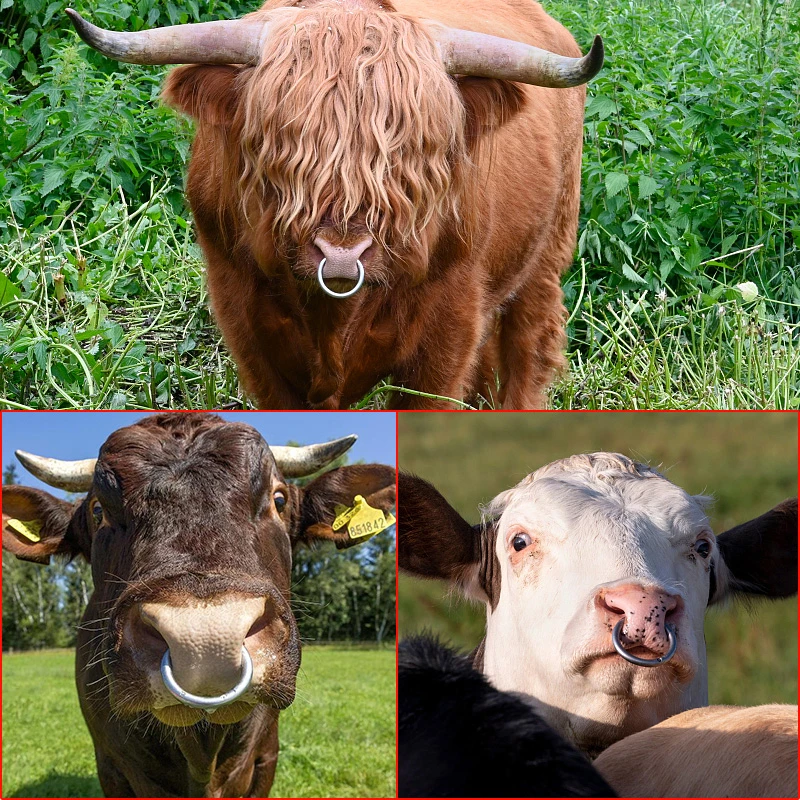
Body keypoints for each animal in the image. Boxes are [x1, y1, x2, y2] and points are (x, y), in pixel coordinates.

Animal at [65, 0, 604, 410]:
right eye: (276, 145)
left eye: (417, 152)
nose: (342, 255)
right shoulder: (244, 319)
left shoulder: (450, 324)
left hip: (546, 256)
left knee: (527, 351)